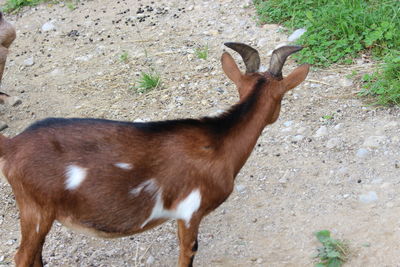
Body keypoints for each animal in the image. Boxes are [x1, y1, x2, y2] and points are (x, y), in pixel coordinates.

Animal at [0, 43, 310, 266]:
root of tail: (13, 145)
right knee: (23, 256)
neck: (218, 142)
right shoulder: (190, 212)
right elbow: (188, 252)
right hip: (36, 209)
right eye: (282, 98)